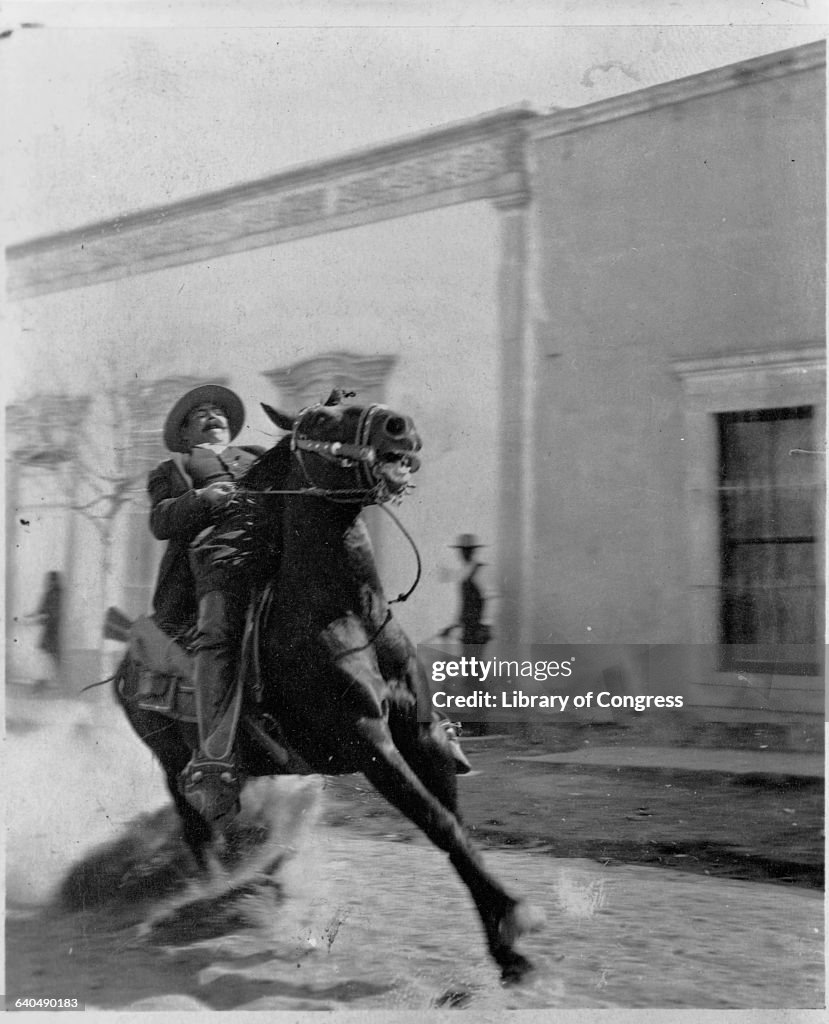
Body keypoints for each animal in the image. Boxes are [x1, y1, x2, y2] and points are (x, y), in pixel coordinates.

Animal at [116, 393, 544, 983]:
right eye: (320, 419)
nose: (400, 427)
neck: (347, 614)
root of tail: (124, 662)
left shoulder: (424, 737)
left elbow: (455, 828)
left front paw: (506, 949)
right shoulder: (368, 742)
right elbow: (438, 823)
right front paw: (513, 916)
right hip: (170, 760)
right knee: (199, 831)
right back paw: (219, 896)